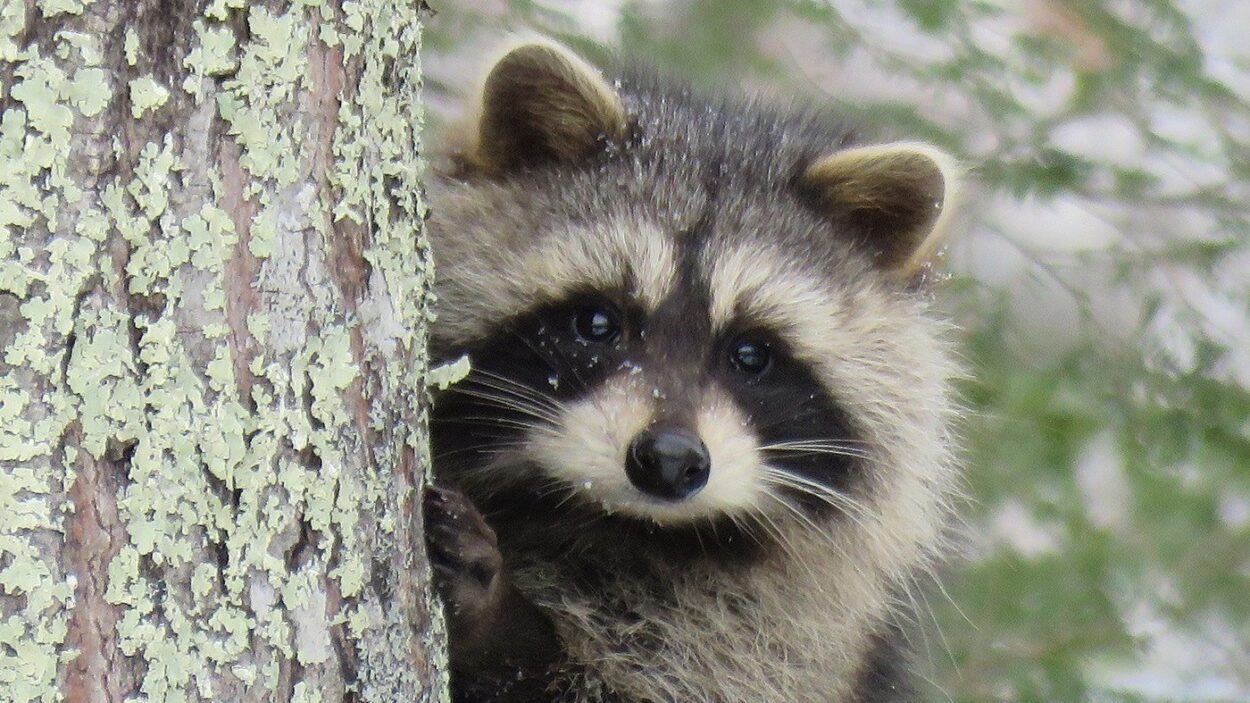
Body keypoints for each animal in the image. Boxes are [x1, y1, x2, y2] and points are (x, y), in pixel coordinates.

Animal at [424, 39, 963, 703]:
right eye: (597, 323)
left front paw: (497, 624)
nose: (670, 460)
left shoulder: (774, 641)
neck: (608, 524)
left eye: (751, 354)